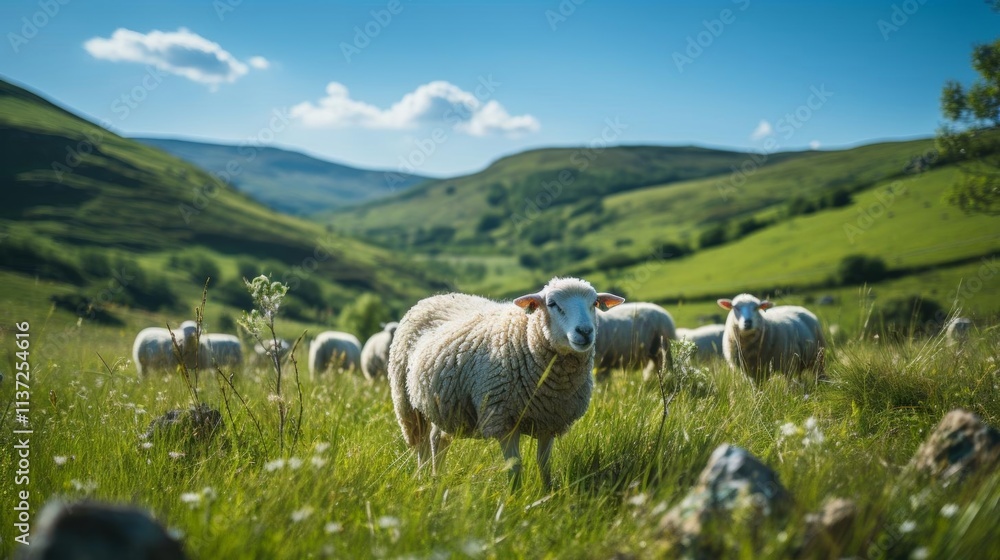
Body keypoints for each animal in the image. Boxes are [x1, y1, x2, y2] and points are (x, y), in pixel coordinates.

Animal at [388, 277, 624, 488]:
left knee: (438, 440)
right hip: (407, 405)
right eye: (552, 304)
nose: (585, 332)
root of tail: (436, 297)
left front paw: (548, 492)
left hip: (443, 404)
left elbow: (544, 464)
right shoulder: (503, 420)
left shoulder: (550, 419)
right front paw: (514, 498)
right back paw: (423, 479)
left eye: (594, 303)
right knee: (421, 446)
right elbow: (515, 466)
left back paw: (437, 478)